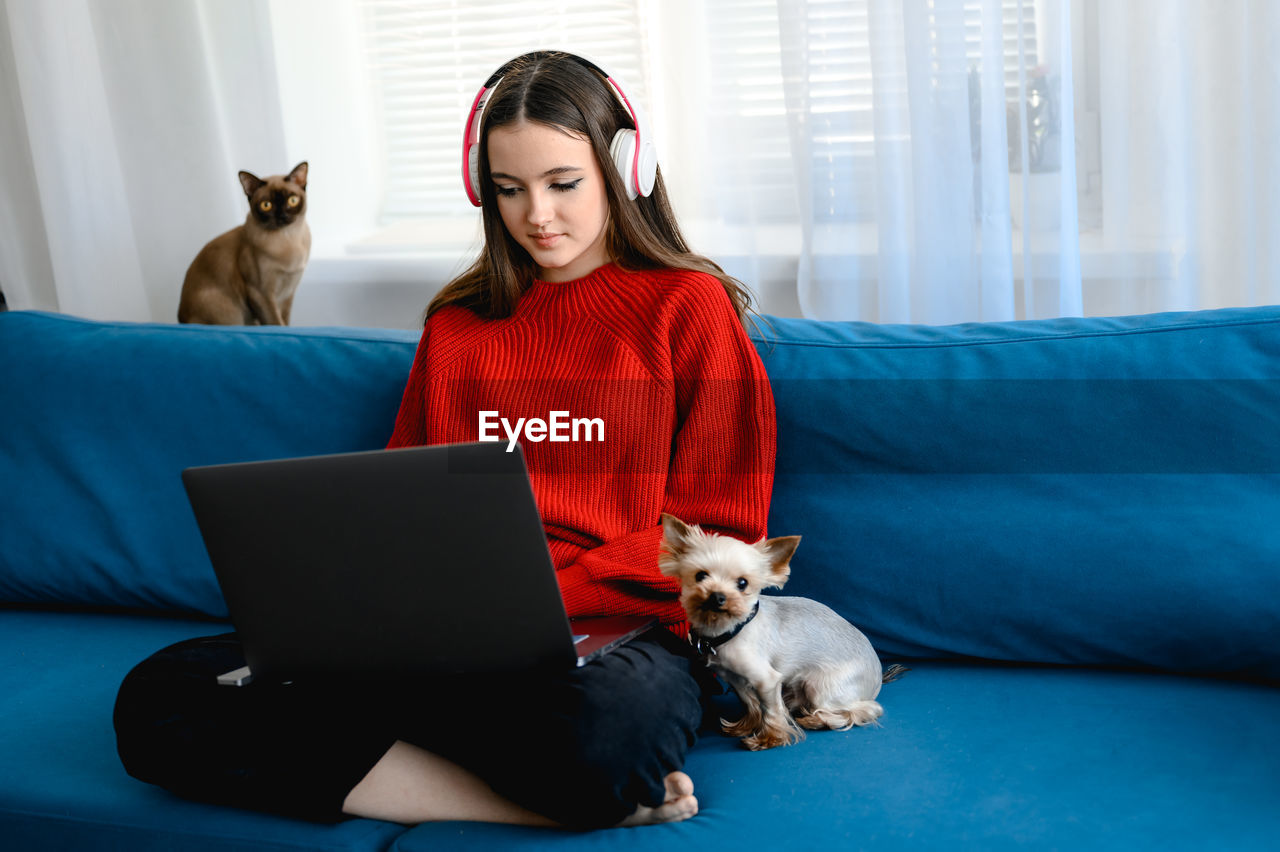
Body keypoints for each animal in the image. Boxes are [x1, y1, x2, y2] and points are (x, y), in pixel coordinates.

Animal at [177, 162, 309, 324]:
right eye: (266, 205)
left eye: (292, 200)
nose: (282, 216)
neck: (288, 238)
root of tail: (180, 319)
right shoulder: (261, 294)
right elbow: (276, 323)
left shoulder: (287, 295)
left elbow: (286, 323)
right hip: (233, 315)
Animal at [660, 511, 901, 752]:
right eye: (700, 576)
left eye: (742, 583)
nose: (717, 596)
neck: (729, 631)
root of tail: (877, 676)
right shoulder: (736, 679)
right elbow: (750, 702)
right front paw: (746, 725)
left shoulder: (766, 680)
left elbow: (772, 711)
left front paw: (769, 738)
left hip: (819, 687)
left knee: (863, 710)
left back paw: (817, 719)